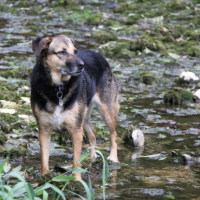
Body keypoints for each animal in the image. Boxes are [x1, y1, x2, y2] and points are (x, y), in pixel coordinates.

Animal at [30, 34, 119, 180]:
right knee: (92, 133)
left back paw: (113, 158)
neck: (58, 88)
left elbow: (76, 161)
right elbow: (44, 160)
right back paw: (92, 157)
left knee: (114, 134)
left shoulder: (76, 130)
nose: (82, 65)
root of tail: (99, 55)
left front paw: (76, 180)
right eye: (62, 52)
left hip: (106, 110)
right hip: (84, 116)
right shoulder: (43, 130)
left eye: (75, 51)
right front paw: (44, 178)